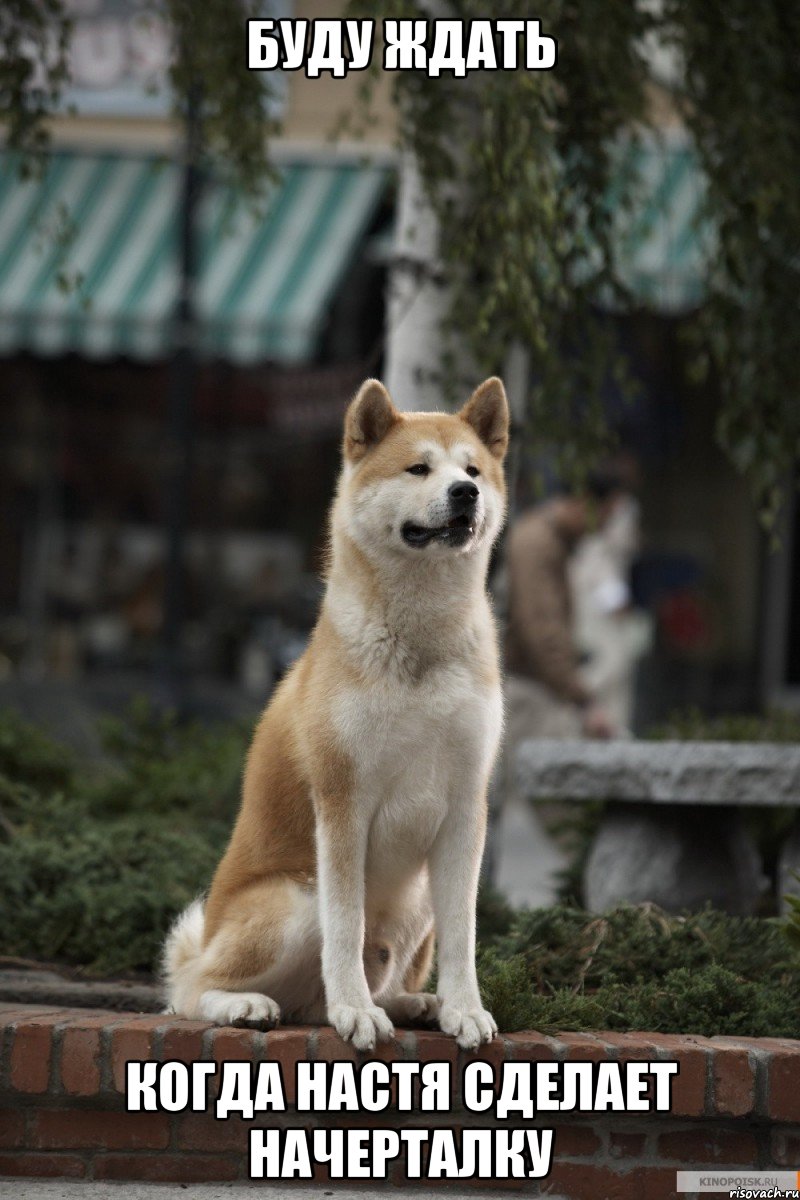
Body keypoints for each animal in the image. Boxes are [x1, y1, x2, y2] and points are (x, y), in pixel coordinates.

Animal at [165, 376, 510, 1051]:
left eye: (473, 470)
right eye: (418, 468)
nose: (466, 493)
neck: (420, 644)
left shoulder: (466, 806)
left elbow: (464, 934)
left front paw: (464, 1008)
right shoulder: (343, 801)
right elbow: (346, 928)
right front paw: (355, 1011)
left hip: (417, 900)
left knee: (362, 984)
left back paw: (415, 1003)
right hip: (296, 899)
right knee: (189, 990)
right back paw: (250, 1005)